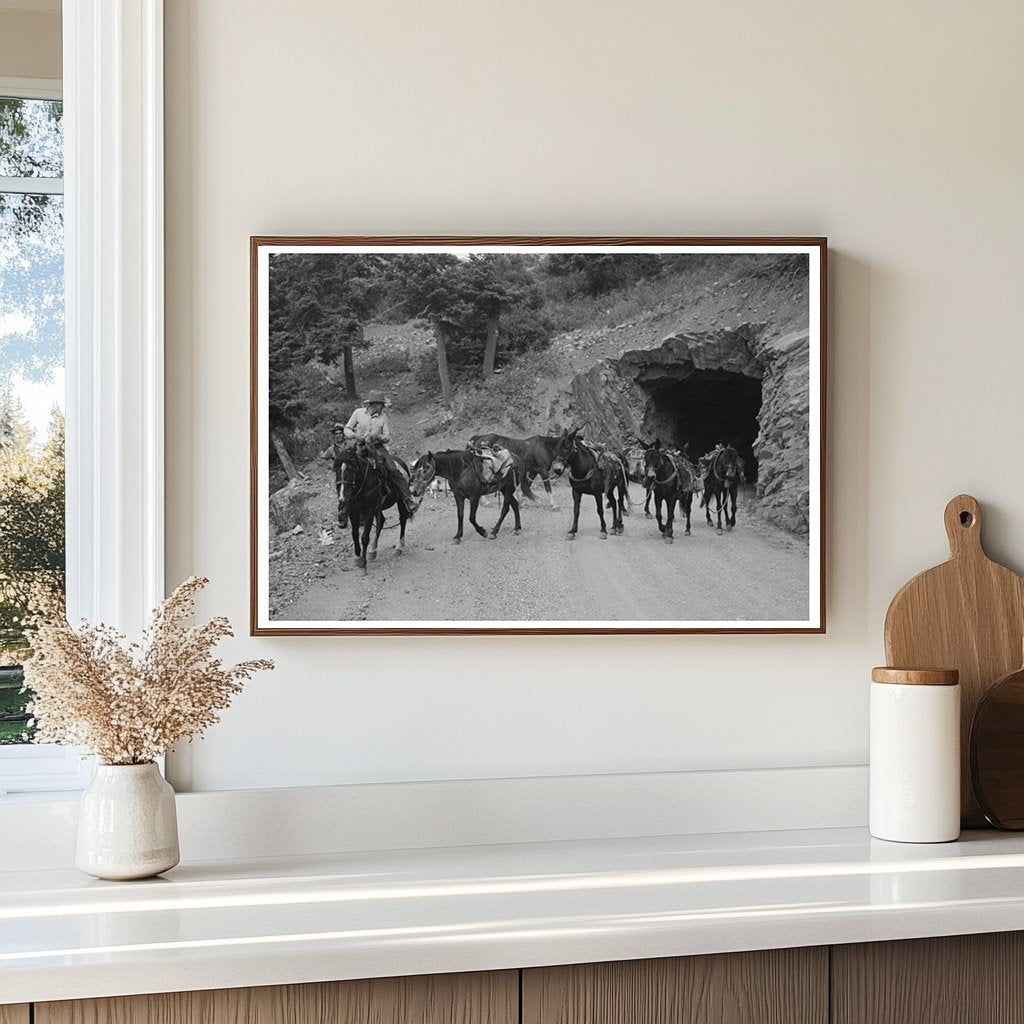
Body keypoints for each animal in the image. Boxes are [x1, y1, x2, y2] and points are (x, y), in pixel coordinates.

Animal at [333, 438, 409, 573]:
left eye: (351, 469)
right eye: (335, 469)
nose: (342, 498)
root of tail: (400, 462)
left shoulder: (368, 511)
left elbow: (364, 537)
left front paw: (363, 564)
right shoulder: (354, 511)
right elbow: (354, 534)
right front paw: (357, 558)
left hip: (400, 501)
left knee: (402, 520)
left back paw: (399, 548)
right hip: (378, 507)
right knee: (381, 521)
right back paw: (373, 550)